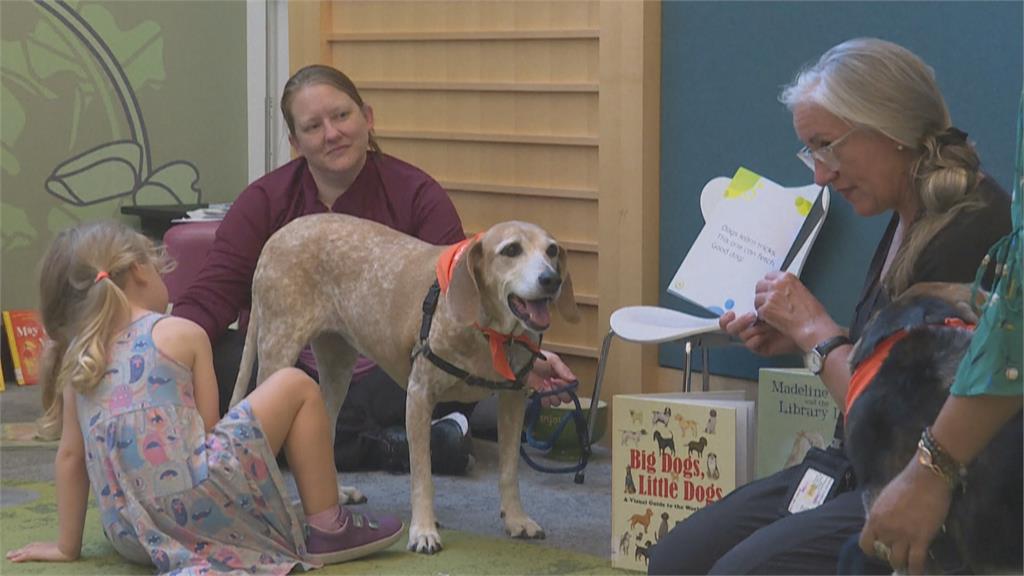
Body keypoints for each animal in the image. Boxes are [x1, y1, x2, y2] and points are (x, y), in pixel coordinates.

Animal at [230, 214, 577, 553]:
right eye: (511, 250)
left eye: (551, 251)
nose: (551, 280)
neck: (488, 332)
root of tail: (279, 234)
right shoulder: (419, 397)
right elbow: (422, 475)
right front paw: (423, 531)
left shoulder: (514, 400)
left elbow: (509, 470)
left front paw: (517, 519)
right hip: (278, 356)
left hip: (336, 369)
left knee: (323, 436)